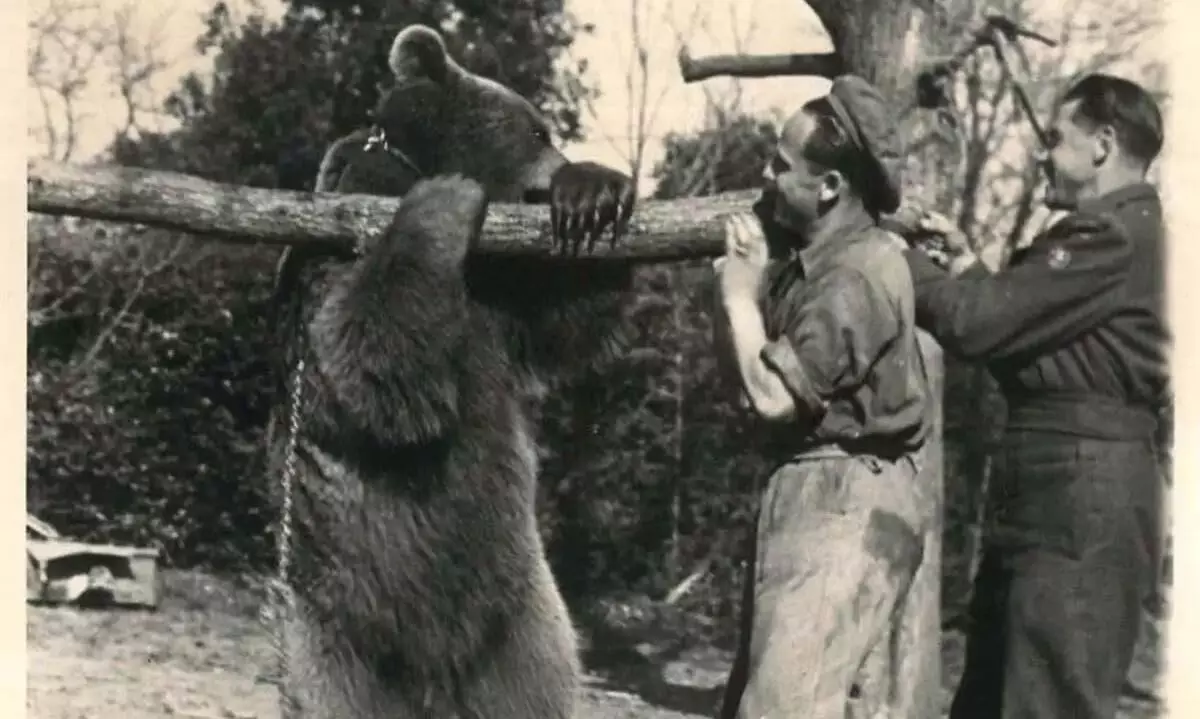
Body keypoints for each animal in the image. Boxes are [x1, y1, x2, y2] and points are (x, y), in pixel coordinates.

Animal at [263, 23, 638, 719]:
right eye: (536, 130)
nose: (552, 172)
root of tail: (439, 680)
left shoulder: (500, 308)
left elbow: (567, 322)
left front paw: (593, 192)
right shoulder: (343, 229)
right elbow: (363, 357)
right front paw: (446, 200)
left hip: (525, 624)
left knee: (535, 688)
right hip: (334, 636)